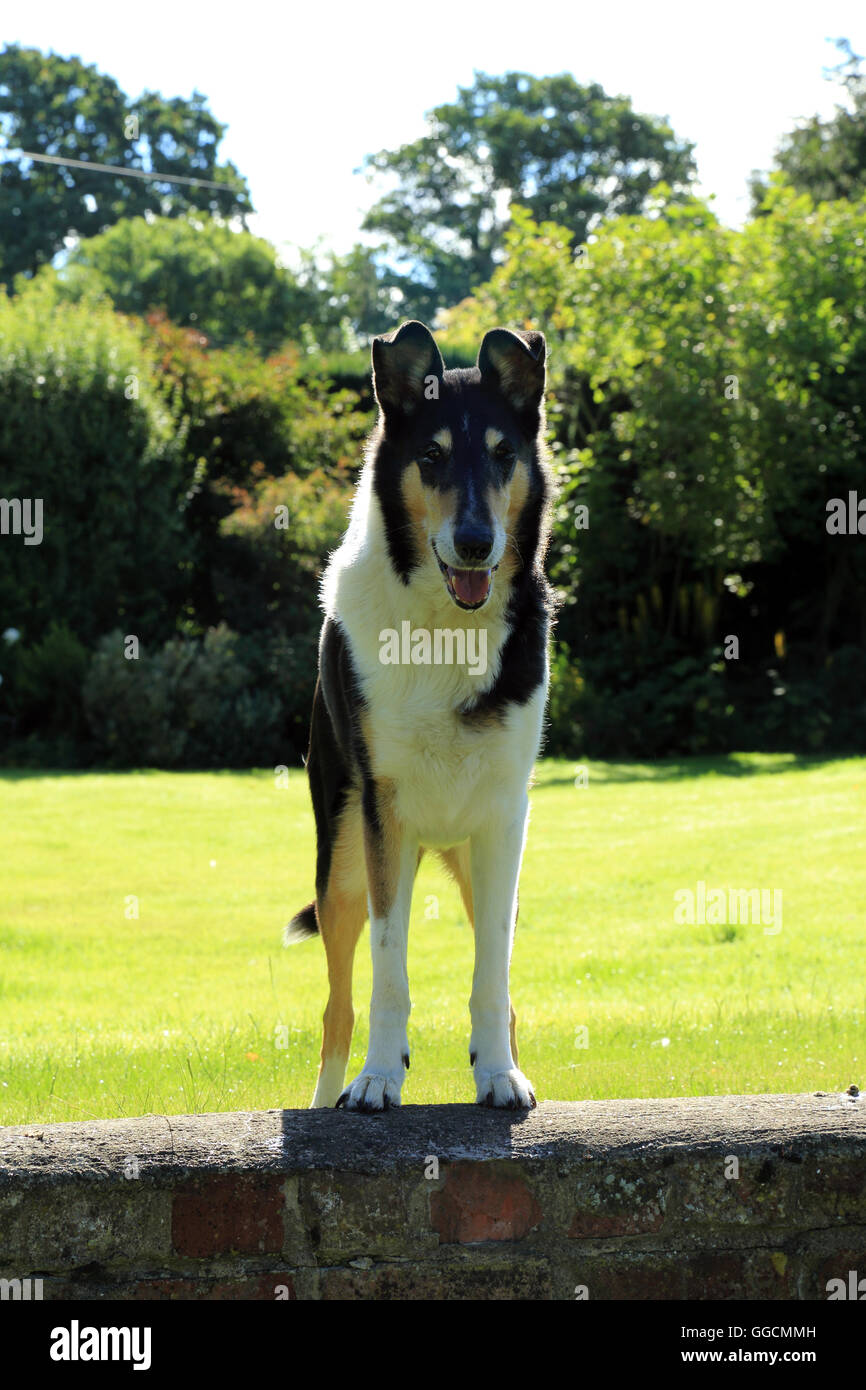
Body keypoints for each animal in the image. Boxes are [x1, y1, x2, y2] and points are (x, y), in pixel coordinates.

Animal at [286, 319, 556, 1112]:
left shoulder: (503, 823)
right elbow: (389, 972)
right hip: (342, 867)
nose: (475, 543)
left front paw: (498, 1075)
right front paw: (378, 1079)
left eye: (502, 454)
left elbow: (492, 978)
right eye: (431, 457)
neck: (444, 625)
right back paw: (327, 1102)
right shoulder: (384, 819)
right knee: (338, 1007)